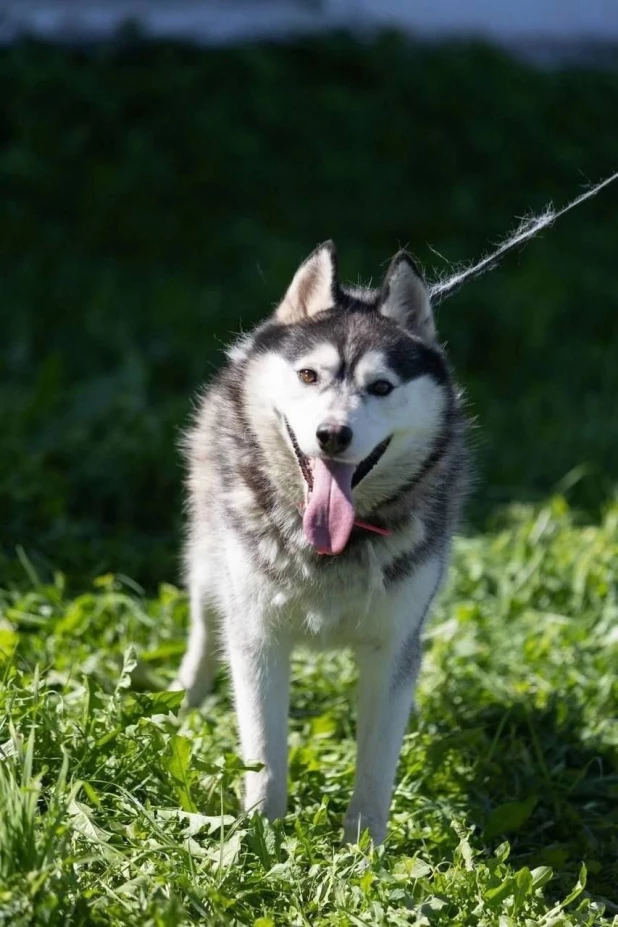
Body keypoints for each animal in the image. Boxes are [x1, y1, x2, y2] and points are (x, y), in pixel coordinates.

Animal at [176, 243, 470, 844]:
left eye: (382, 387)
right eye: (309, 374)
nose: (333, 435)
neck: (337, 547)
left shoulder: (393, 647)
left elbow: (377, 766)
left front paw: (366, 849)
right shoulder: (258, 638)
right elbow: (264, 751)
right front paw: (261, 835)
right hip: (210, 558)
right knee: (204, 623)